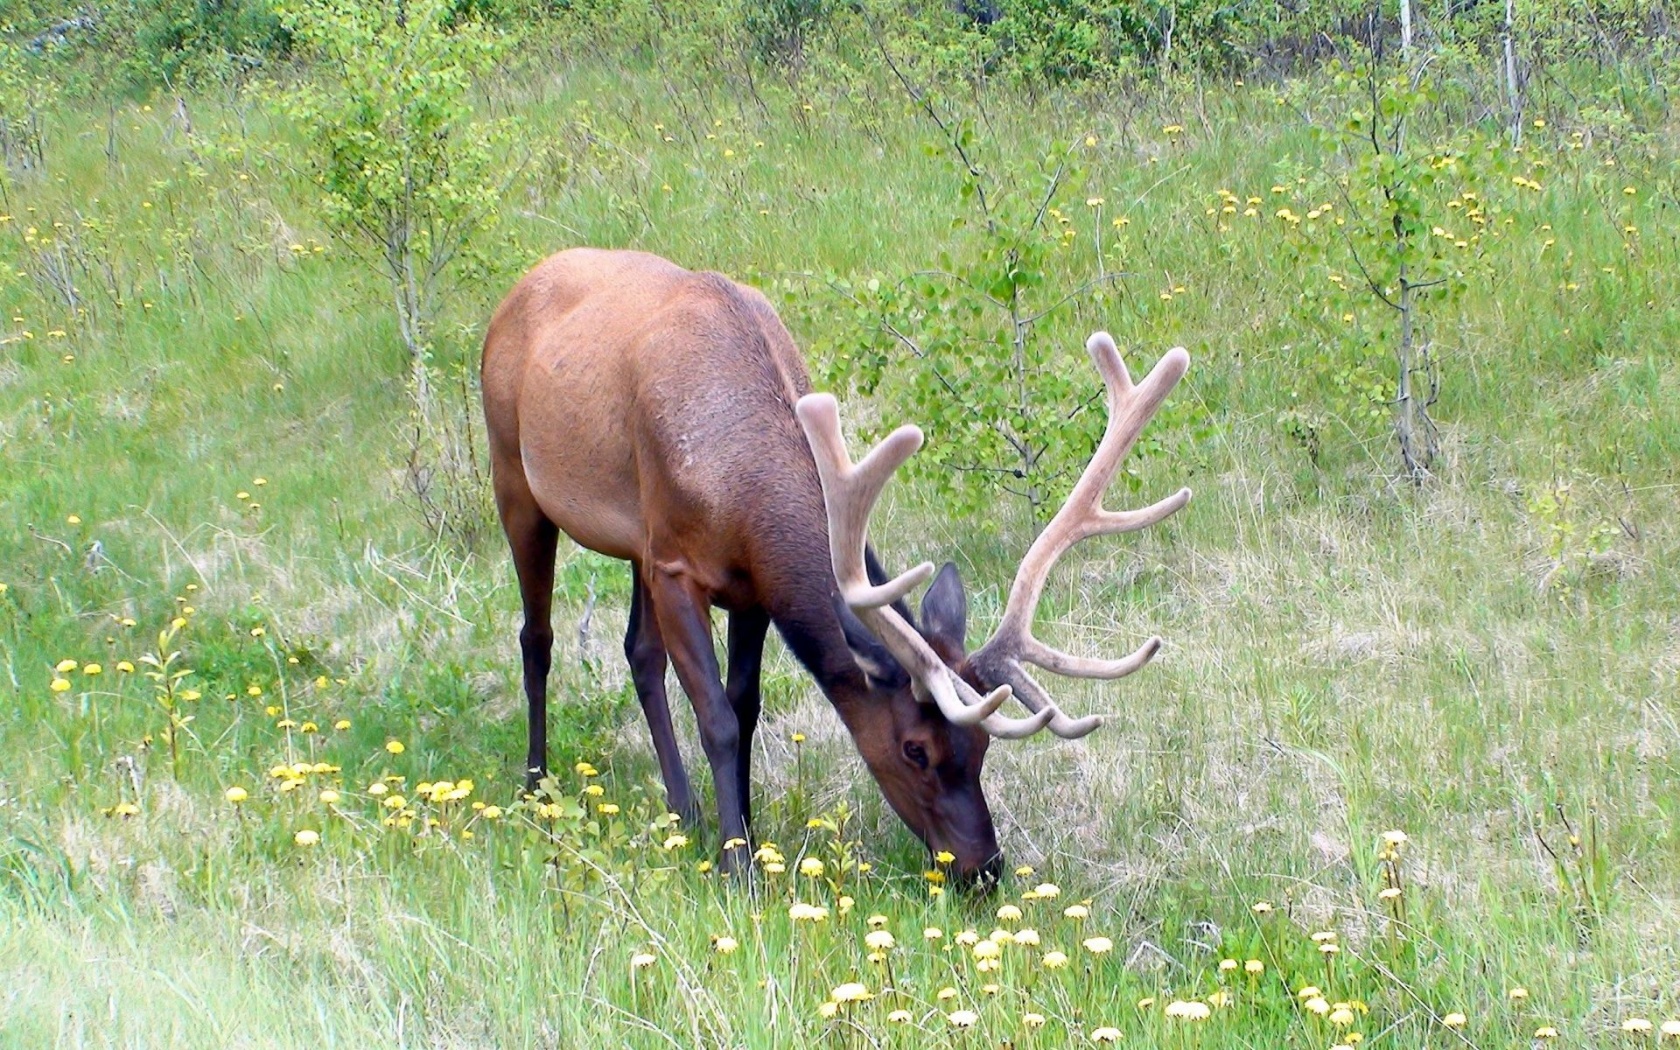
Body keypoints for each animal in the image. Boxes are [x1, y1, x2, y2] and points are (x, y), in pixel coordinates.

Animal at [483, 245, 1196, 873]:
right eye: (915, 749)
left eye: (982, 745)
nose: (985, 868)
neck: (740, 492)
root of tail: (519, 286)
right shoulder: (676, 565)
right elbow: (716, 717)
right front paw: (737, 866)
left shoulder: (745, 586)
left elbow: (744, 708)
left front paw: (743, 831)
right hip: (514, 477)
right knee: (537, 637)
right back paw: (535, 782)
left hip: (634, 543)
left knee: (638, 651)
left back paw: (683, 810)